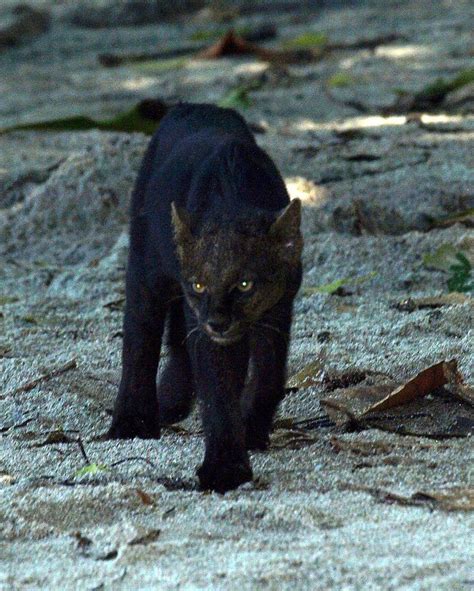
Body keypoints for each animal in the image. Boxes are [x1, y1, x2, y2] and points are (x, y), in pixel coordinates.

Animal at [109, 104, 304, 492]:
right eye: (199, 285)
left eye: (244, 284)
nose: (217, 321)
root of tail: (195, 106)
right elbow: (218, 387)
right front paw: (225, 467)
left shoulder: (276, 312)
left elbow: (269, 375)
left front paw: (251, 429)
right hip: (146, 270)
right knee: (140, 339)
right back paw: (132, 421)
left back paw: (171, 398)